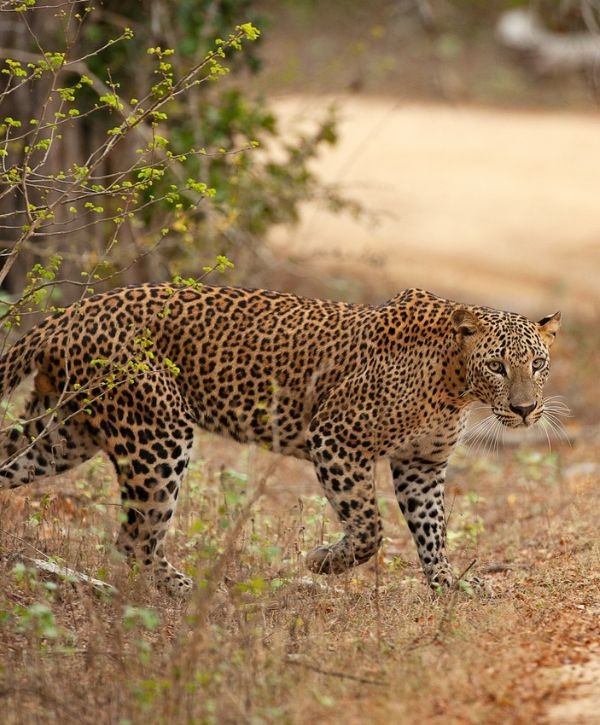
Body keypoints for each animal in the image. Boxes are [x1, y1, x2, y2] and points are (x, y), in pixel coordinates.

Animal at [0, 282, 560, 592]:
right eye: (497, 365)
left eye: (537, 364)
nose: (525, 410)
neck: (455, 383)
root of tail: (73, 312)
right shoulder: (336, 438)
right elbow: (369, 528)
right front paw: (323, 563)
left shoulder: (421, 465)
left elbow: (432, 530)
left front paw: (450, 585)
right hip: (158, 435)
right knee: (135, 537)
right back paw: (185, 590)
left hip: (63, 434)